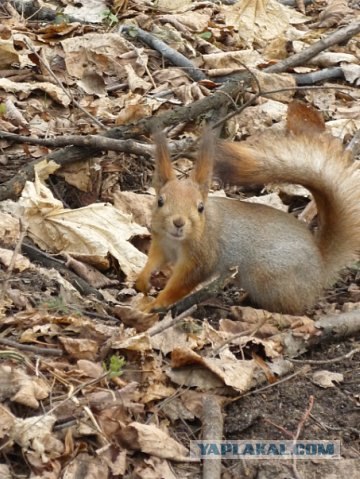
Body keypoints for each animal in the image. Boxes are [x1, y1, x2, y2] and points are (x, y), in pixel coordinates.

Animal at [135, 102, 360, 314]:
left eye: (200, 207)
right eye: (160, 201)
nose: (178, 222)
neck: (177, 241)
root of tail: (321, 269)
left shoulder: (201, 259)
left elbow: (180, 285)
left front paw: (155, 303)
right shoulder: (161, 243)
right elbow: (153, 260)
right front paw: (142, 280)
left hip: (268, 276)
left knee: (293, 307)